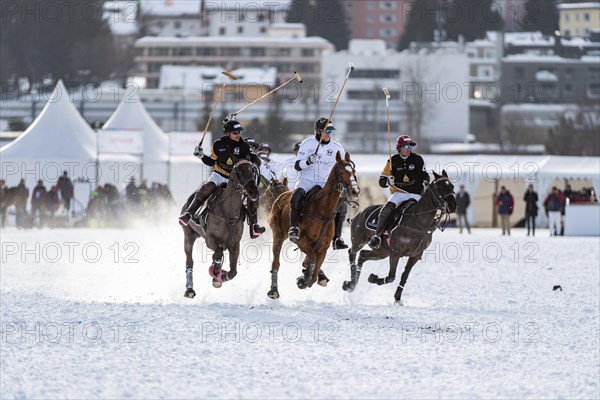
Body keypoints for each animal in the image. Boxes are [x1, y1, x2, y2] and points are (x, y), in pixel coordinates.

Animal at [180, 158, 260, 298]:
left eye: (253, 170)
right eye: (239, 171)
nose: (253, 191)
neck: (228, 215)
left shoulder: (234, 244)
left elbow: (233, 272)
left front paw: (220, 277)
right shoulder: (210, 239)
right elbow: (218, 253)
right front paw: (216, 271)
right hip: (188, 234)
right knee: (189, 261)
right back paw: (189, 289)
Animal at [268, 152, 360, 298]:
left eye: (354, 171)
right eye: (341, 172)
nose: (355, 191)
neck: (323, 211)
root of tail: (282, 194)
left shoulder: (323, 247)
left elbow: (315, 269)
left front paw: (307, 277)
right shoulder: (302, 241)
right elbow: (312, 259)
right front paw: (303, 278)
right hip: (278, 234)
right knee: (276, 263)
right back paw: (274, 291)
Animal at [342, 170, 454, 304]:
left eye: (452, 186)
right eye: (440, 187)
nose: (453, 205)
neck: (419, 223)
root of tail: (358, 214)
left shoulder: (416, 255)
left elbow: (404, 276)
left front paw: (397, 298)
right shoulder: (395, 252)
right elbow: (391, 277)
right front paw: (373, 278)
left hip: (383, 251)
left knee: (362, 255)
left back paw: (352, 284)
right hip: (360, 240)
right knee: (352, 252)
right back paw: (349, 284)